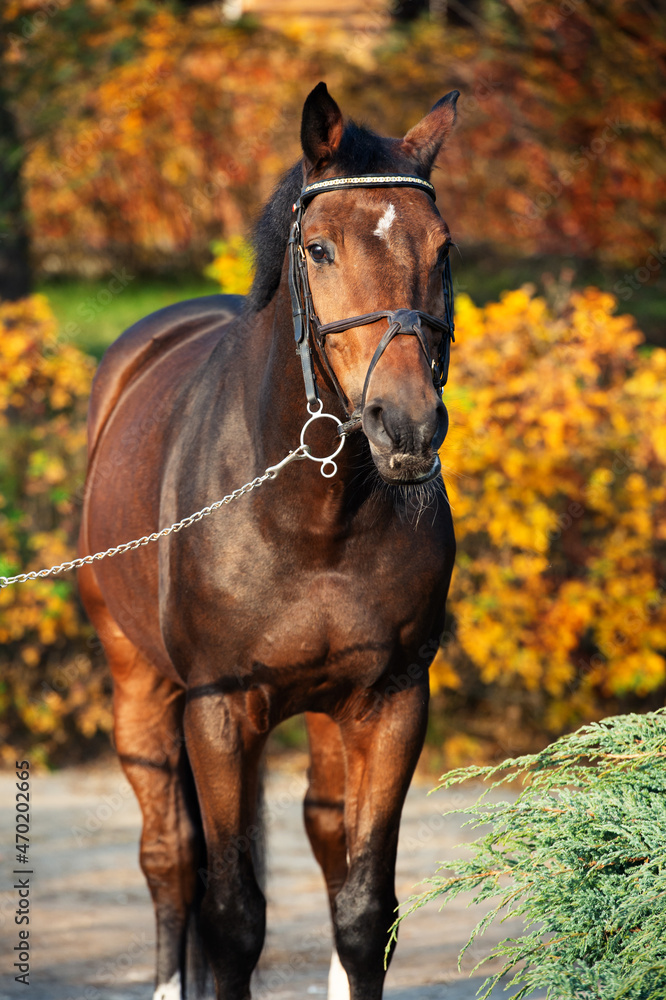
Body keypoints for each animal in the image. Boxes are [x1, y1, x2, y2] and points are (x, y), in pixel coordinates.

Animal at [78, 81, 458, 1000]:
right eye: (318, 249)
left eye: (444, 249)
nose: (407, 426)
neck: (311, 522)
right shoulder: (217, 709)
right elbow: (231, 915)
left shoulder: (392, 700)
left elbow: (363, 910)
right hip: (139, 685)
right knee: (171, 863)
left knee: (319, 840)